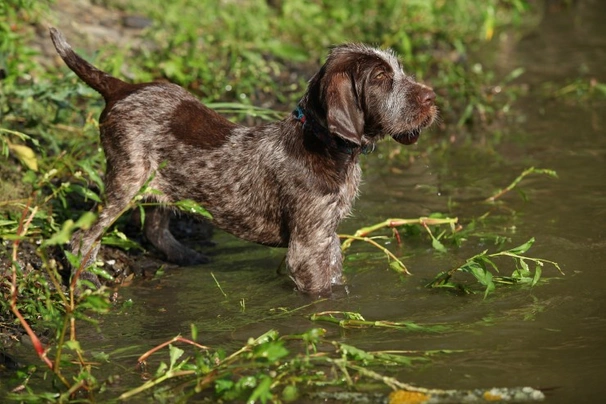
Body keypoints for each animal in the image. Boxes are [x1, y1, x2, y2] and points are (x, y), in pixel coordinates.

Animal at [47, 26, 436, 296]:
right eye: (381, 79)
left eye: (399, 70)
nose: (432, 97)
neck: (325, 145)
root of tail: (122, 88)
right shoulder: (308, 246)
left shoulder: (327, 236)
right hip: (127, 180)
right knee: (83, 237)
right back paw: (83, 282)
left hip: (162, 181)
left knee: (154, 227)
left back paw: (188, 257)